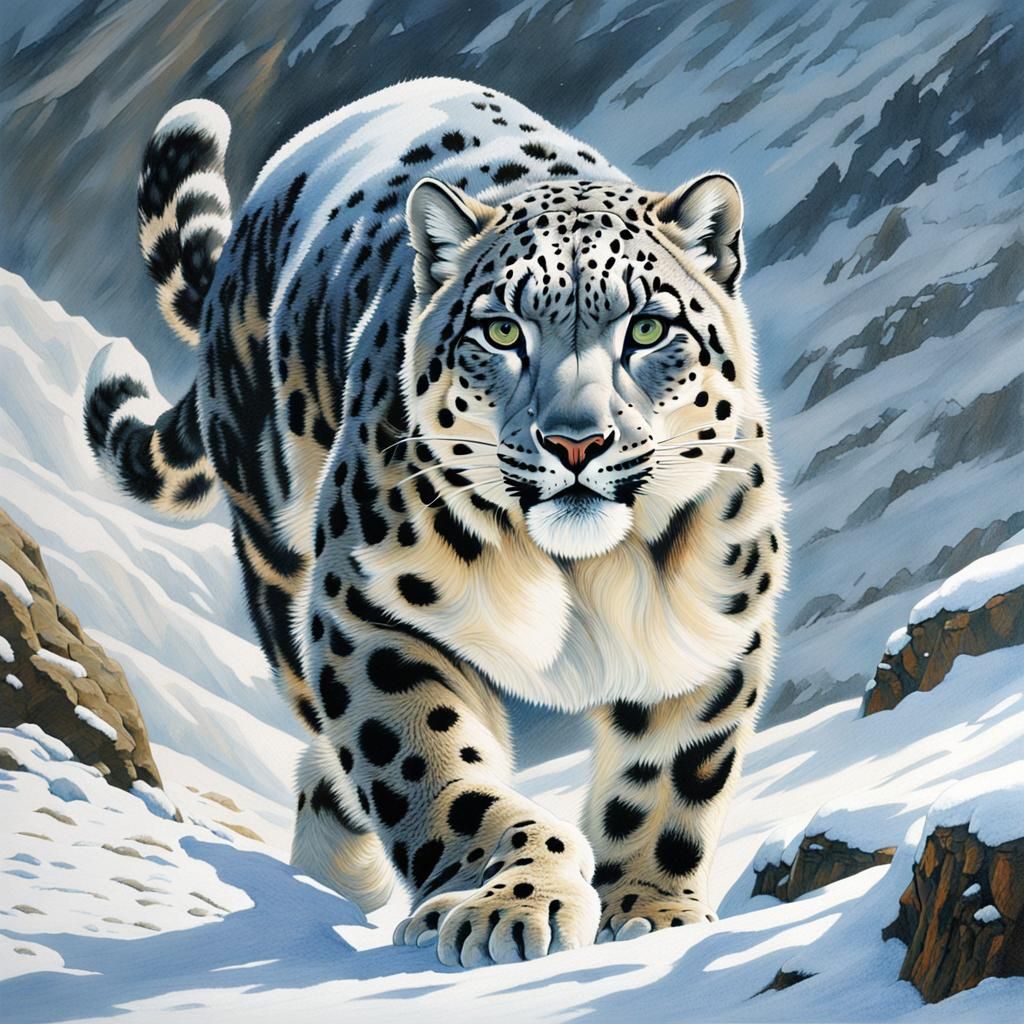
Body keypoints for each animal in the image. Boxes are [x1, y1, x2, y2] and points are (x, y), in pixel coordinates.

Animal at [84, 77, 787, 967]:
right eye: (503, 330)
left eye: (650, 328)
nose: (576, 441)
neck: (581, 577)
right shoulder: (373, 611)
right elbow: (433, 768)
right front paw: (508, 902)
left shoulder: (710, 631)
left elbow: (665, 782)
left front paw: (648, 910)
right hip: (276, 551)